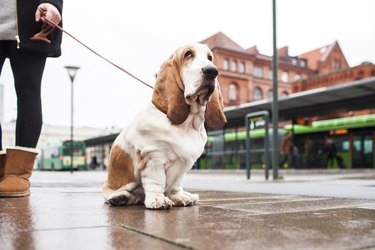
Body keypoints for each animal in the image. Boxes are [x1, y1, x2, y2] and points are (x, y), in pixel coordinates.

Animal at [102, 43, 226, 209]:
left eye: (210, 58)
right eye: (188, 54)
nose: (212, 71)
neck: (186, 125)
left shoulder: (182, 165)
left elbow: (175, 185)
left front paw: (180, 198)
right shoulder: (153, 158)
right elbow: (157, 182)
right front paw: (158, 200)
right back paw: (119, 197)